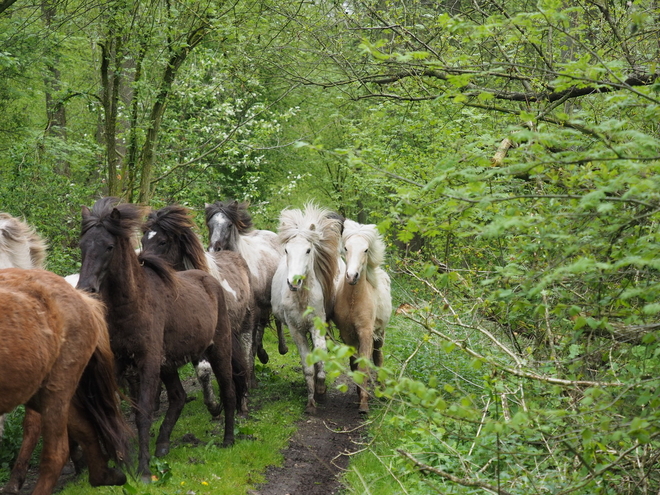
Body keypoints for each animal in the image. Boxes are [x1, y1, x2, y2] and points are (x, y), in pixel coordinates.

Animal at [0, 270, 130, 494]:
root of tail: (82, 297)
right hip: (39, 390)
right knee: (84, 427)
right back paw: (105, 475)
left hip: (57, 385)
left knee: (57, 452)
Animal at [142, 203, 255, 408]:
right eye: (143, 240)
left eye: (163, 242)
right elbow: (202, 369)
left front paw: (217, 405)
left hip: (245, 325)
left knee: (246, 357)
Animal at [330, 221, 392, 414]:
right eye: (346, 248)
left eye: (365, 250)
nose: (351, 276)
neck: (353, 301)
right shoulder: (348, 335)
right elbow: (354, 363)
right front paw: (358, 395)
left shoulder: (366, 333)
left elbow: (364, 365)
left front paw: (364, 404)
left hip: (380, 334)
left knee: (378, 357)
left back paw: (382, 389)